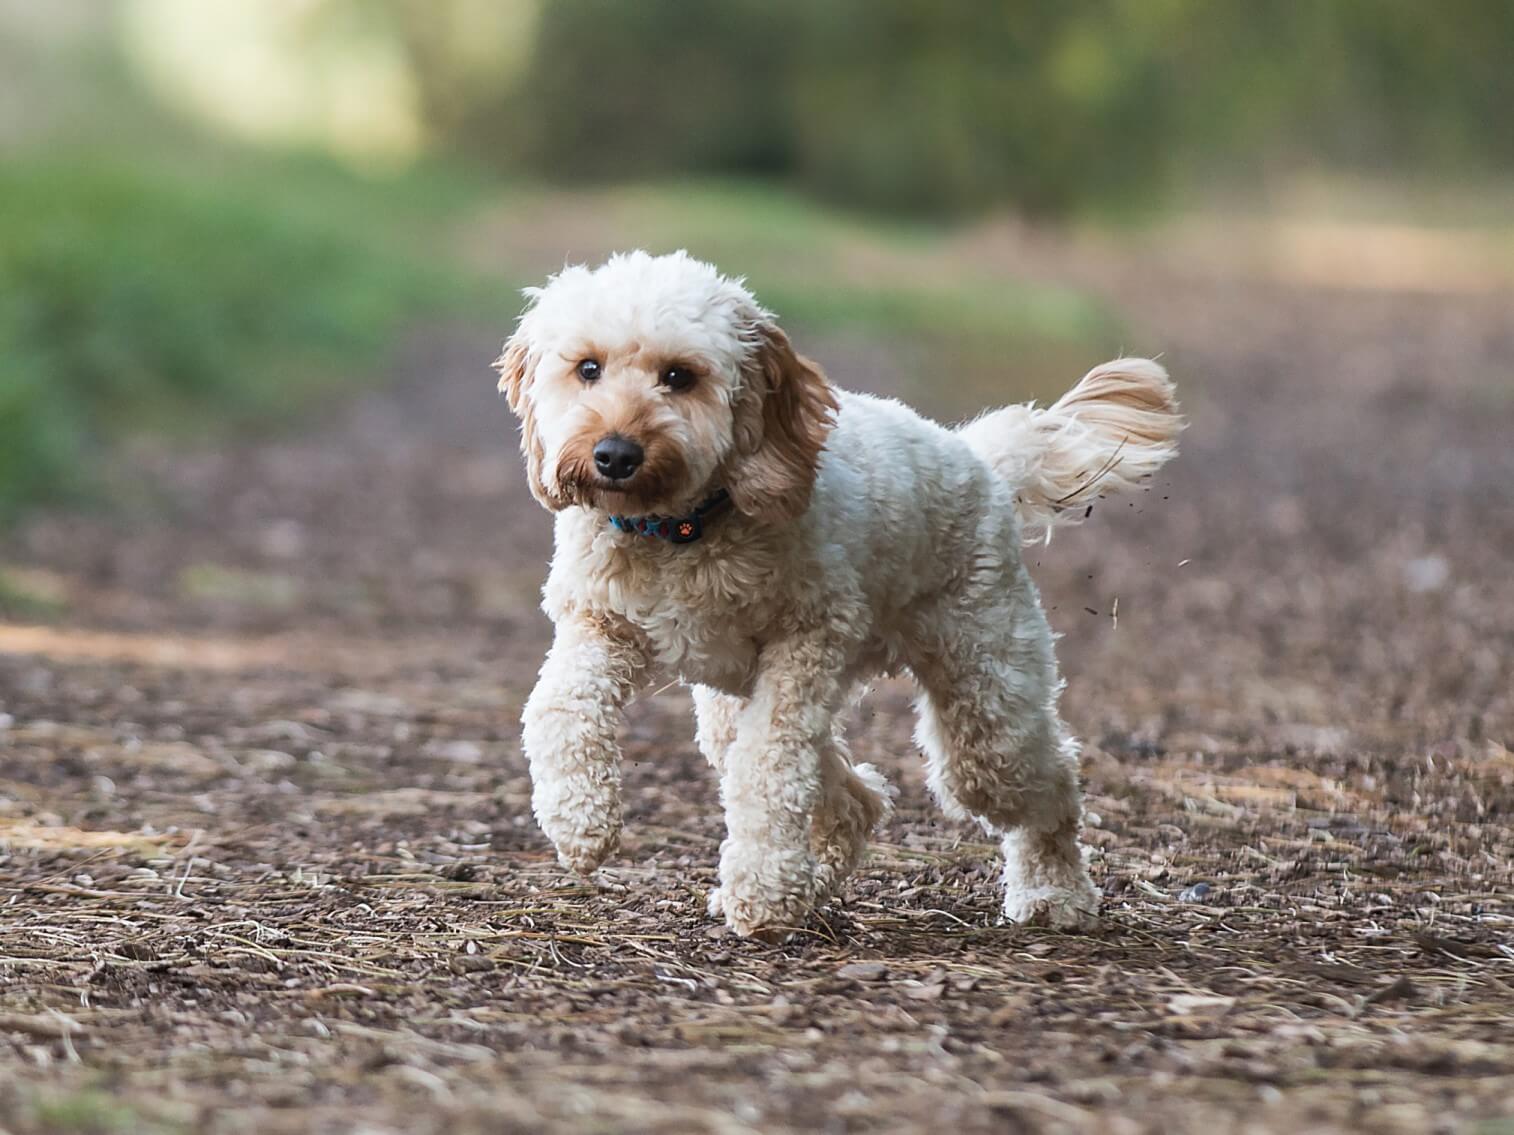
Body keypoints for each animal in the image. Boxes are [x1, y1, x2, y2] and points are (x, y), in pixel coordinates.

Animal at [496, 251, 1180, 944]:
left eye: (679, 377)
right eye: (587, 368)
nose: (614, 454)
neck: (679, 531)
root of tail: (981, 459)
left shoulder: (808, 642)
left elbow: (769, 765)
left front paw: (762, 888)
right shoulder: (598, 625)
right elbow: (557, 708)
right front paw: (578, 822)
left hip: (985, 696)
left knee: (1042, 782)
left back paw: (1054, 892)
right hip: (735, 701)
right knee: (854, 798)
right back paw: (818, 879)